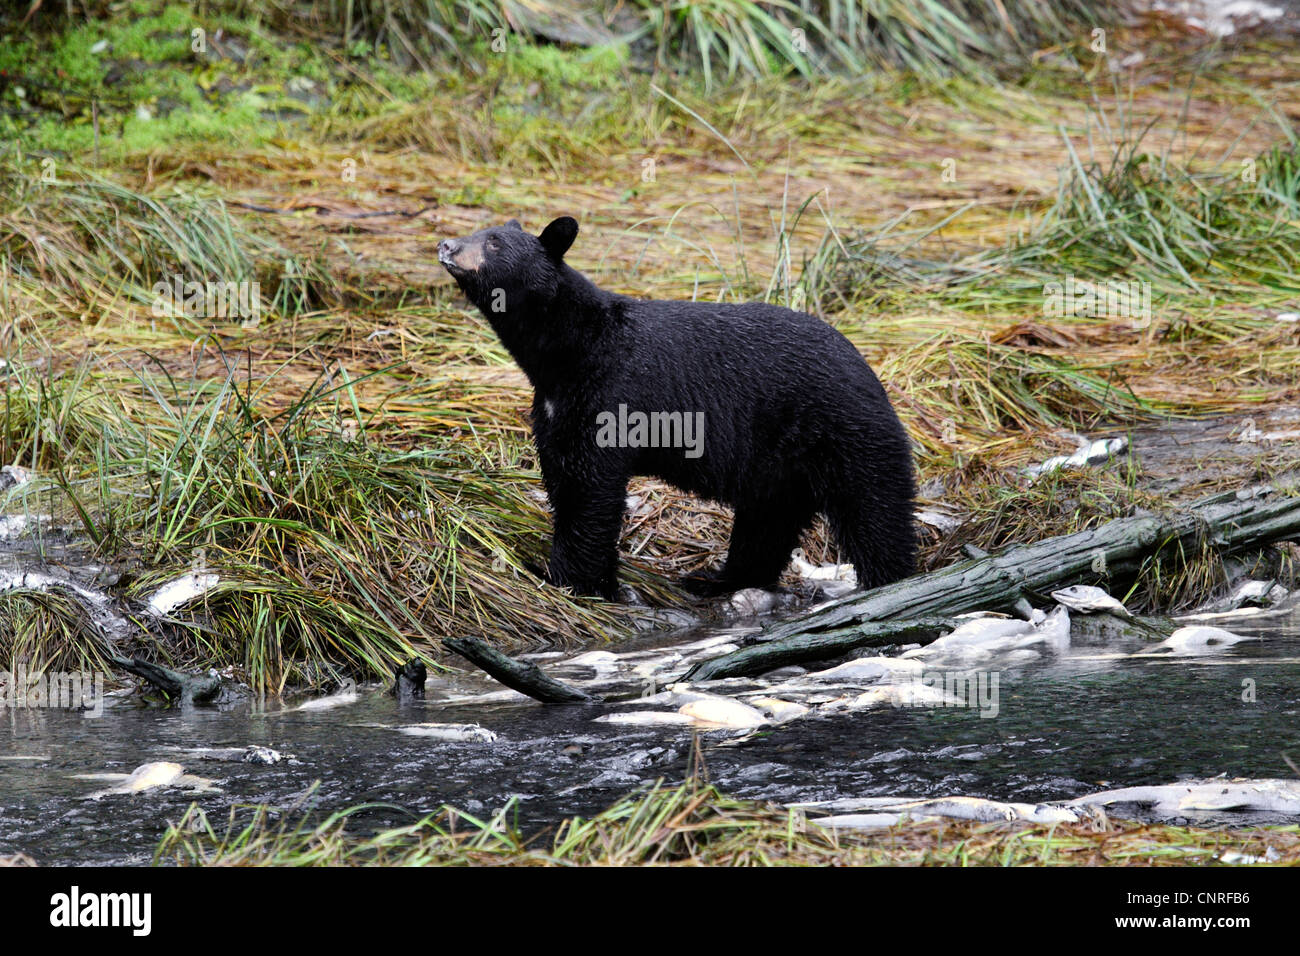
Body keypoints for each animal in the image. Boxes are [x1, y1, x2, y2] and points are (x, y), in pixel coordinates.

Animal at [436, 217, 915, 598]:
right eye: (482, 230)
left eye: (494, 242)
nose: (446, 245)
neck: (570, 351)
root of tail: (871, 374)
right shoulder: (556, 410)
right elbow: (562, 477)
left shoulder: (611, 395)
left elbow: (591, 488)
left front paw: (570, 578)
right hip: (781, 466)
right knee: (767, 523)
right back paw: (718, 580)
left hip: (845, 434)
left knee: (876, 514)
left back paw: (889, 583)